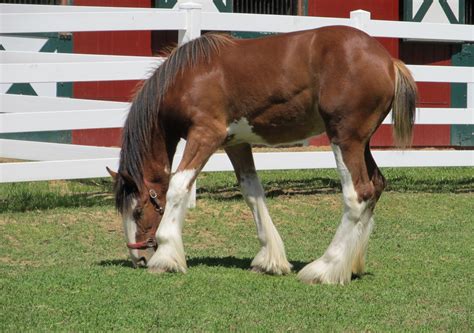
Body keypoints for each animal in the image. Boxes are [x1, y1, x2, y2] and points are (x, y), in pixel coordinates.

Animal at [106, 26, 414, 286]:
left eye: (137, 210)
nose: (138, 258)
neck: (189, 76)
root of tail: (389, 61)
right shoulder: (236, 143)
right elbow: (252, 193)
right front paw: (270, 260)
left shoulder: (205, 135)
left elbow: (179, 186)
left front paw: (165, 258)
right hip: (362, 143)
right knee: (375, 186)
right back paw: (349, 266)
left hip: (345, 139)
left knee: (357, 195)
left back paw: (325, 269)